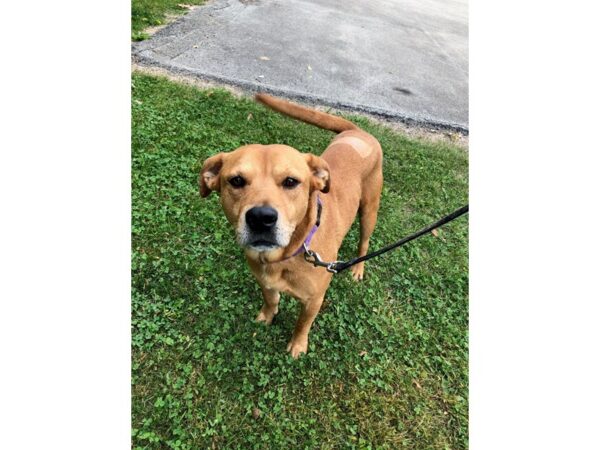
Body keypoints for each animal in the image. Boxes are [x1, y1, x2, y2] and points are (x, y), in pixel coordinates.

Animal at [199, 95, 382, 358]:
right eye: (236, 180)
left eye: (291, 181)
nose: (261, 217)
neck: (287, 255)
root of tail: (357, 131)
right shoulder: (265, 282)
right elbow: (270, 300)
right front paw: (267, 316)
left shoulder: (314, 300)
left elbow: (303, 323)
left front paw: (298, 345)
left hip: (369, 210)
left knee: (364, 241)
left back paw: (358, 269)